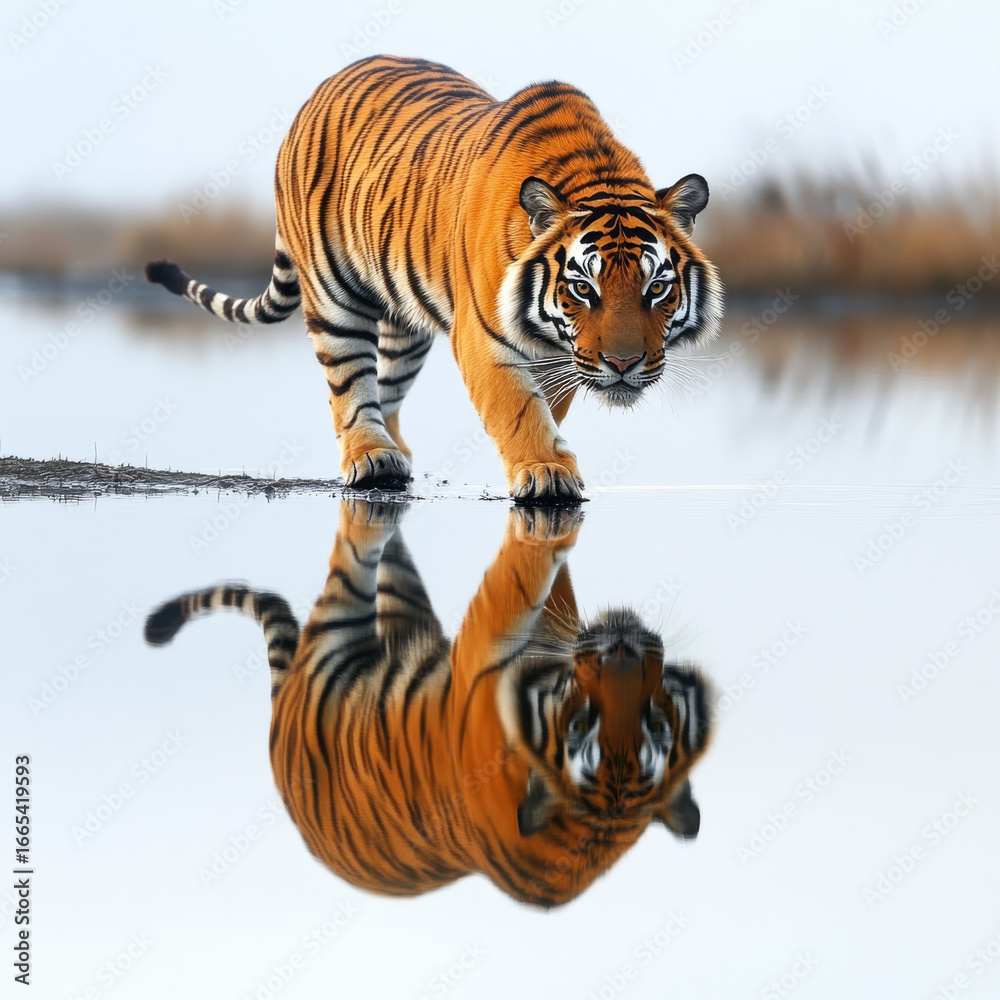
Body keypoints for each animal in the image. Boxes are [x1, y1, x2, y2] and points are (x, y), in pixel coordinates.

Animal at [145, 55, 723, 502]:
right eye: (584, 288)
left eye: (656, 289)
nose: (624, 365)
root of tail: (324, 85)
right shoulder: (485, 338)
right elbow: (518, 409)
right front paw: (545, 472)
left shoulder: (558, 357)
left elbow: (549, 407)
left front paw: (551, 457)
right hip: (334, 298)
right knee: (350, 385)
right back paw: (372, 458)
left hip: (405, 329)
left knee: (385, 388)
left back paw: (397, 455)